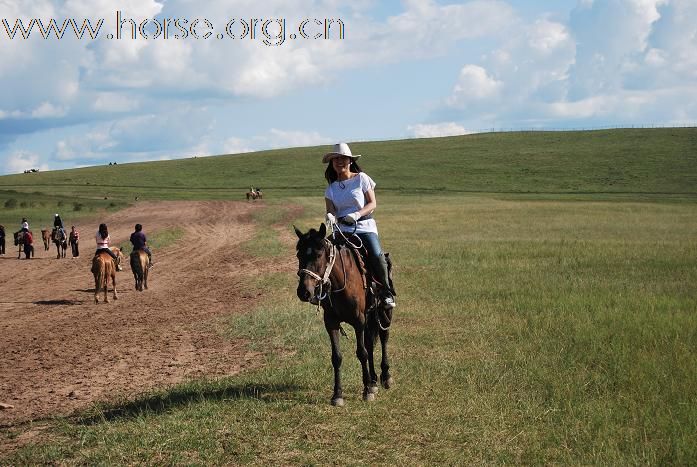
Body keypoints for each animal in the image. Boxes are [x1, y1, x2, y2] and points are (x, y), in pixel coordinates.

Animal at [294, 223, 392, 406]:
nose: (304, 292)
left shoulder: (359, 321)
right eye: (298, 255)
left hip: (384, 314)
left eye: (318, 255)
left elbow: (362, 353)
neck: (340, 282)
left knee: (383, 338)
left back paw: (385, 377)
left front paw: (367, 391)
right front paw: (338, 394)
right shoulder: (331, 322)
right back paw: (374, 380)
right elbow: (337, 357)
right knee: (370, 343)